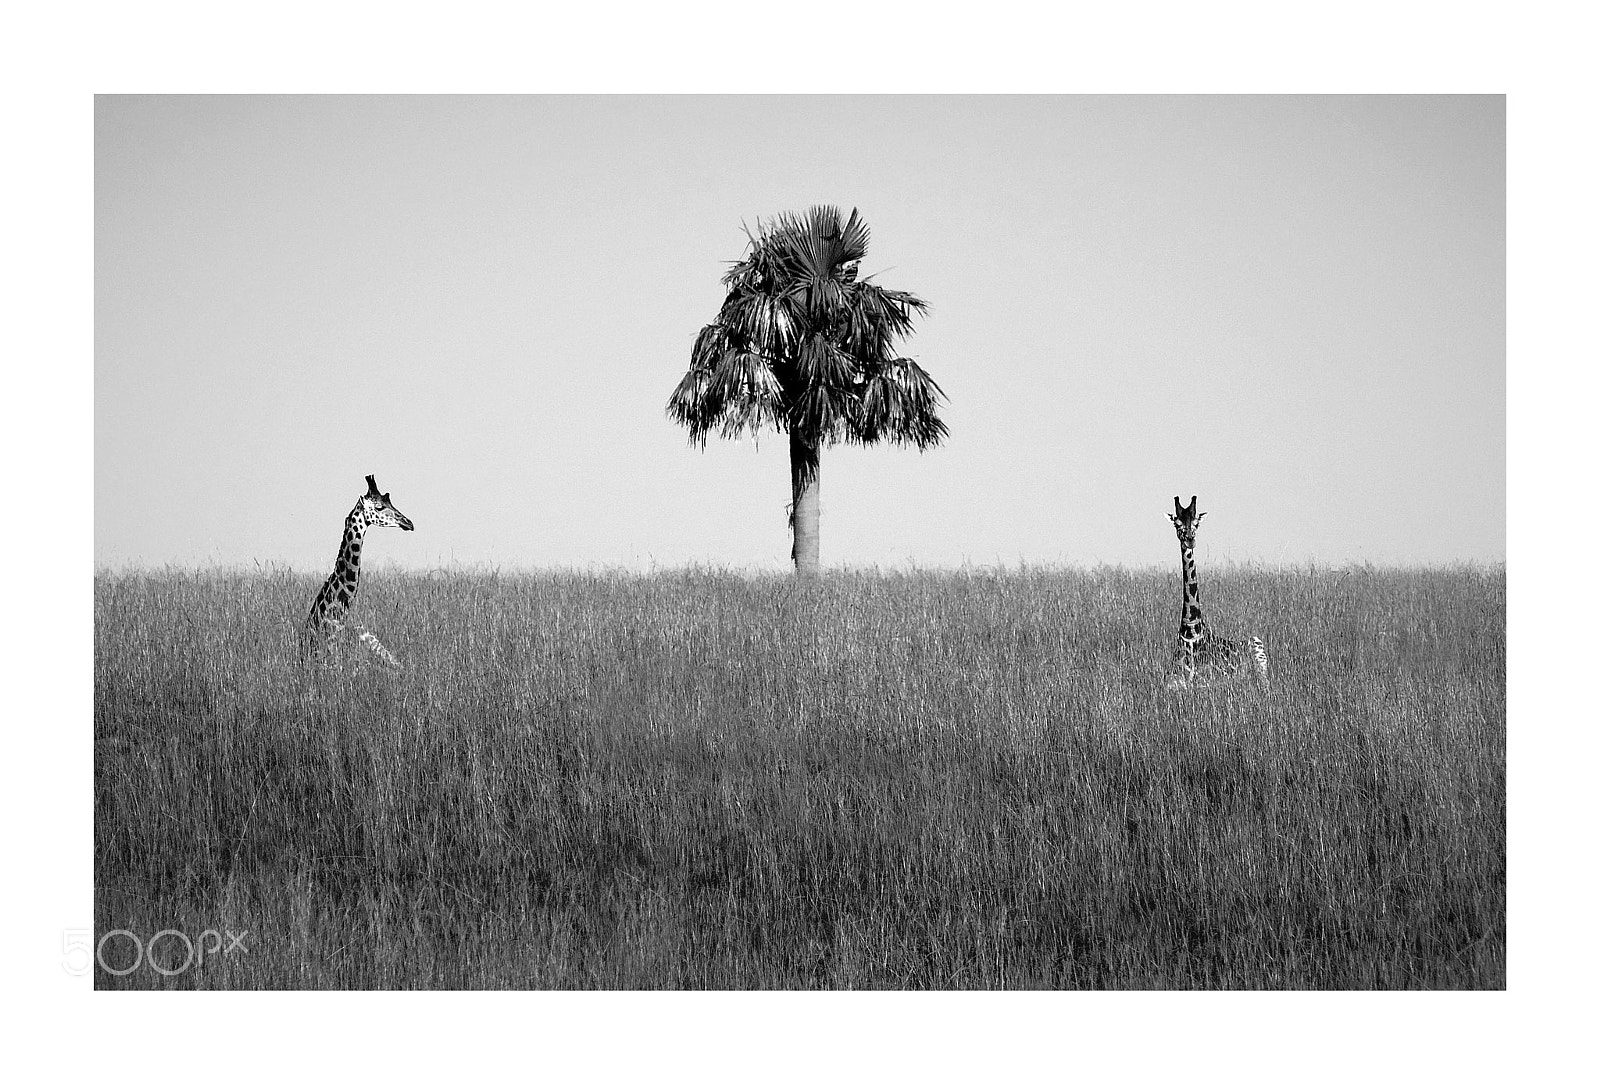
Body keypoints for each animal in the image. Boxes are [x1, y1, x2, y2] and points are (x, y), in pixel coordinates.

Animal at [1167, 495, 1269, 688]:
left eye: (1197, 523)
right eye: (1177, 524)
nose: (1189, 539)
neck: (1191, 631)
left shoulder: (1209, 684)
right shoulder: (1171, 685)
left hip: (1259, 647)